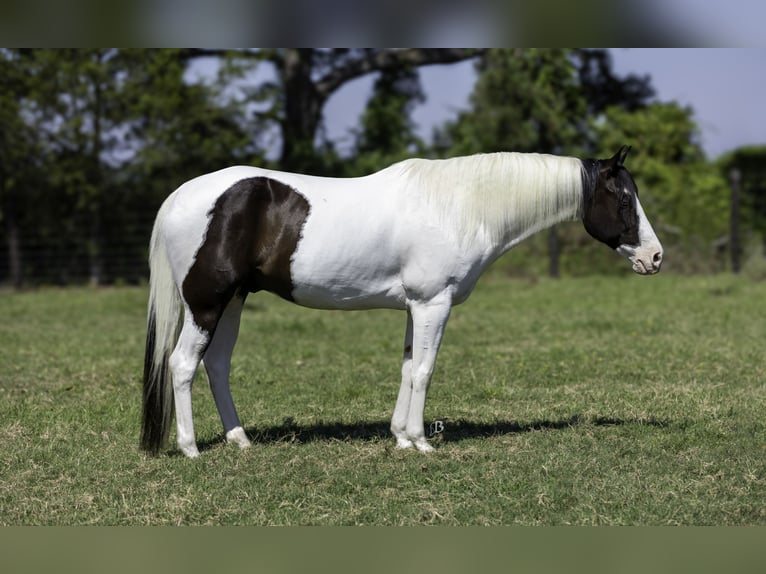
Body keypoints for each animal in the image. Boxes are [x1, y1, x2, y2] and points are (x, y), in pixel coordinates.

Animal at [141, 147, 664, 460]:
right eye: (622, 198)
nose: (655, 257)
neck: (459, 206)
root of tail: (180, 196)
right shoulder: (434, 304)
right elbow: (425, 371)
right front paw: (419, 442)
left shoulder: (417, 306)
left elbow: (408, 367)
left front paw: (400, 436)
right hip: (207, 303)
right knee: (183, 364)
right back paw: (190, 448)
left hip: (233, 302)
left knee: (217, 365)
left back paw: (240, 440)